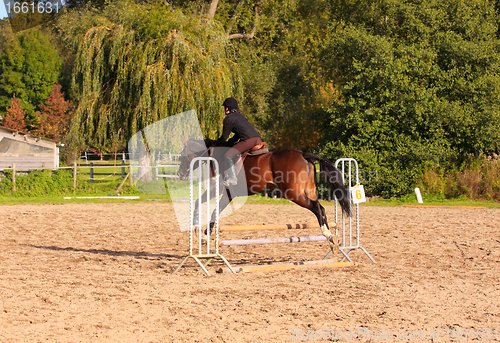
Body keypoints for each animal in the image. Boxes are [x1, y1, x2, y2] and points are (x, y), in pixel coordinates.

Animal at [177, 138, 352, 249]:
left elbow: (209, 209)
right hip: (309, 190)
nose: (180, 175)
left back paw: (327, 234)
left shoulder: (221, 190)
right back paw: (332, 239)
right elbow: (206, 207)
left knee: (316, 207)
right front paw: (199, 231)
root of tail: (303, 154)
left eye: (182, 155)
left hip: (293, 194)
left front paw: (202, 235)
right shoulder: (227, 193)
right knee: (321, 209)